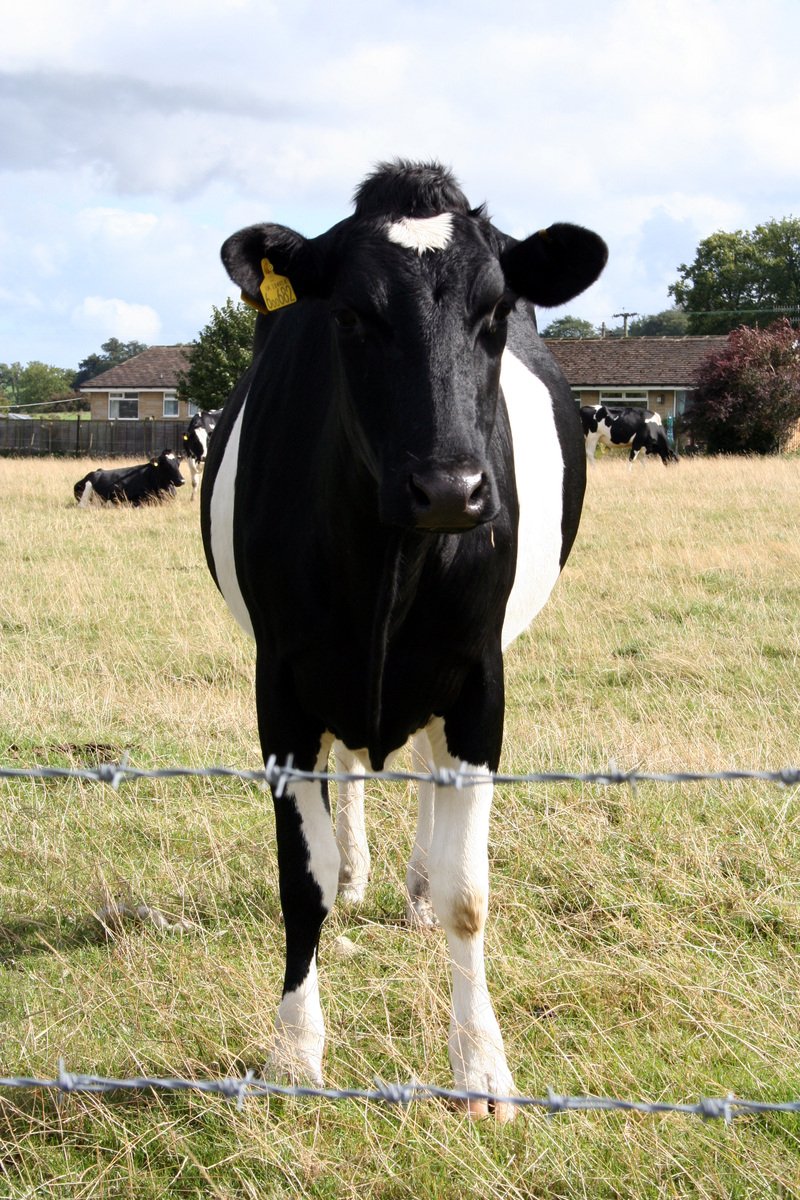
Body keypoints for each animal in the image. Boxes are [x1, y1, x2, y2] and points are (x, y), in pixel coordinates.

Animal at [200, 157, 606, 1113]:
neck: (389, 562)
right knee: (351, 770)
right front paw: (294, 1054)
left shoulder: (480, 681)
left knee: (422, 769)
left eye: (495, 313)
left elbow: (469, 893)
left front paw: (482, 1067)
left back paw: (413, 886)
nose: (451, 488)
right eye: (350, 314)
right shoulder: (282, 682)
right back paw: (359, 872)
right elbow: (300, 883)